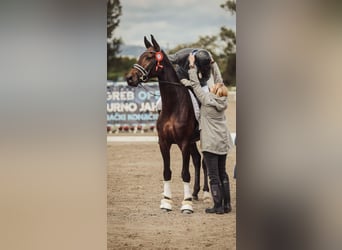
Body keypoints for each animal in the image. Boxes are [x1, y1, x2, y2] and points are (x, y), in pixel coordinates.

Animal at [127, 34, 210, 212]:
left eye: (149, 57)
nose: (130, 78)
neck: (173, 105)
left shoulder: (183, 143)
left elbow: (185, 173)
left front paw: (186, 204)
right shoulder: (164, 142)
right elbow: (167, 171)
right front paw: (166, 201)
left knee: (204, 162)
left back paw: (206, 194)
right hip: (192, 142)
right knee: (197, 160)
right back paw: (195, 193)